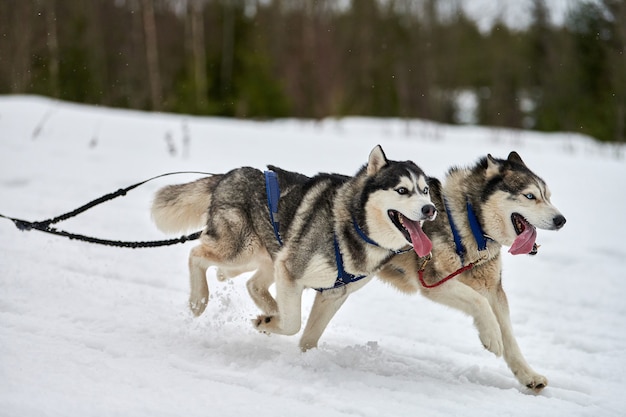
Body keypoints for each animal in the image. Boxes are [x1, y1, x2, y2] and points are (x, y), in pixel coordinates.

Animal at [151, 147, 434, 342]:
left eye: (425, 190)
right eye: (402, 190)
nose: (430, 209)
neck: (353, 224)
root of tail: (229, 175)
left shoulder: (332, 295)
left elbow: (308, 338)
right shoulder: (290, 273)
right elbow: (292, 325)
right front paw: (269, 323)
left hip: (264, 258)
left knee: (249, 283)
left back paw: (270, 309)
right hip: (240, 252)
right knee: (196, 254)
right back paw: (199, 301)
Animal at [368, 151, 564, 392]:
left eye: (548, 196)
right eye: (530, 196)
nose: (561, 220)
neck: (469, 224)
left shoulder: (493, 289)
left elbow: (509, 334)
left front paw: (528, 375)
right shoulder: (434, 282)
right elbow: (479, 302)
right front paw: (492, 336)